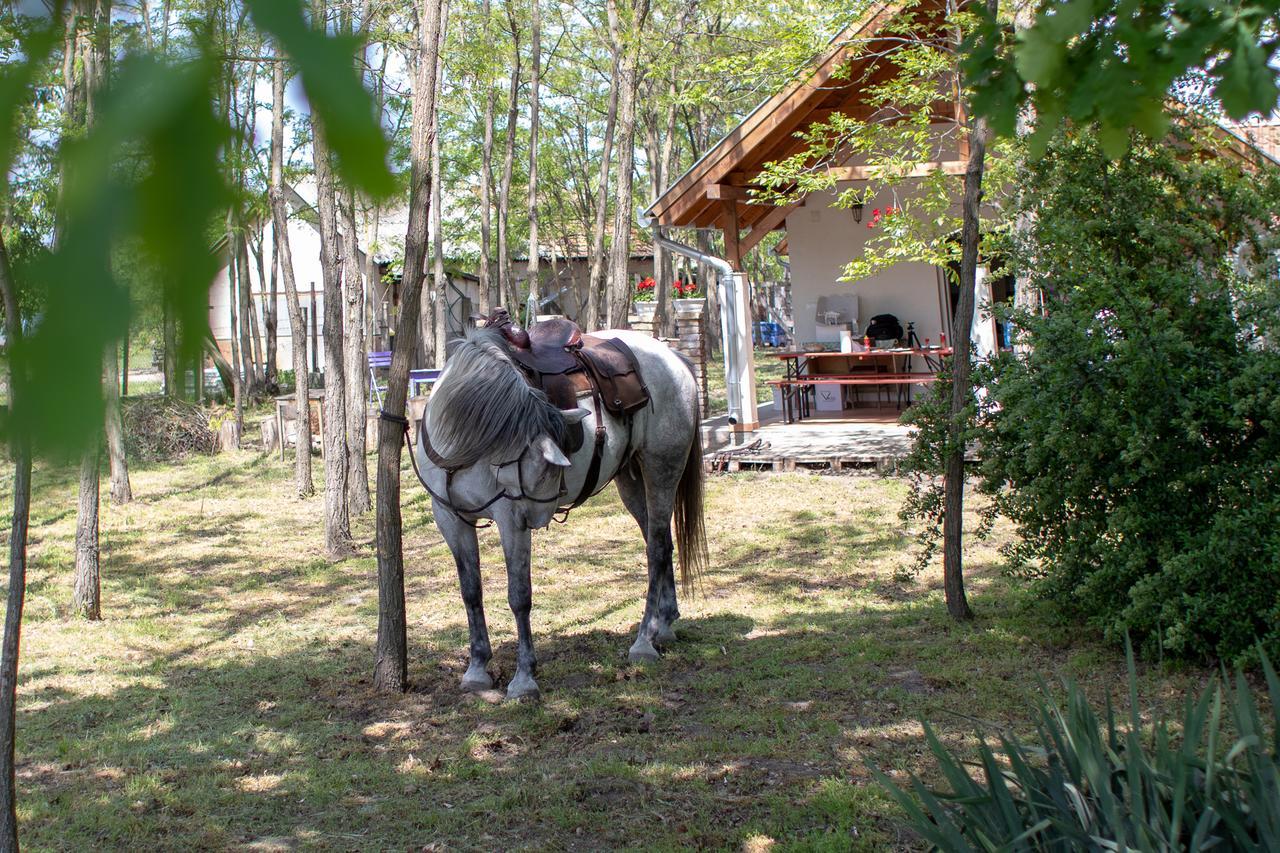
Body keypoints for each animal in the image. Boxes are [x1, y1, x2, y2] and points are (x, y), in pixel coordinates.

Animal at [412, 325, 706, 696]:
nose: (537, 517)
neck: (463, 447)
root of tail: (673, 357)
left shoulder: (511, 521)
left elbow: (519, 596)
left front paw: (524, 677)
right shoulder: (451, 520)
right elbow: (471, 592)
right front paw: (477, 668)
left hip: (662, 470)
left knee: (655, 550)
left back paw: (644, 641)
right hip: (632, 481)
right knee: (663, 544)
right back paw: (663, 625)